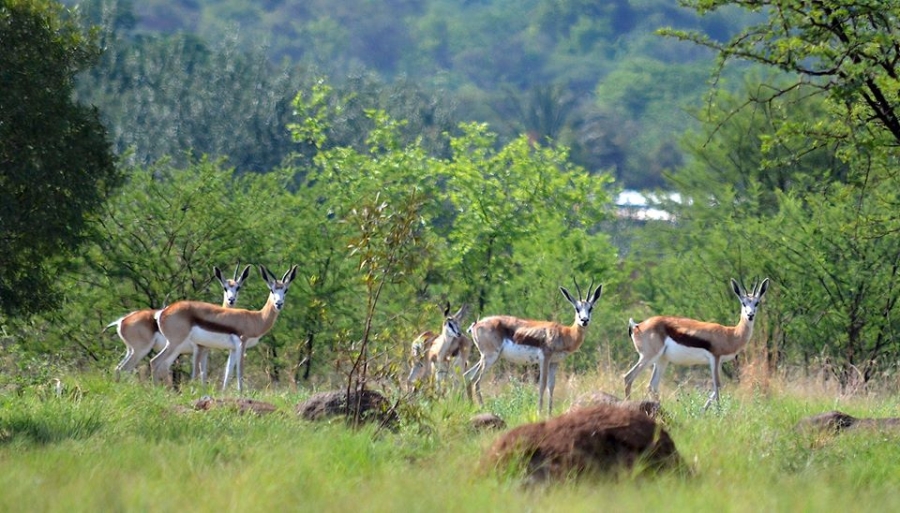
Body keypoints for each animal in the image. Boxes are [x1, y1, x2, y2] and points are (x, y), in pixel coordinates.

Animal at [108, 264, 250, 380]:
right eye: (225, 288)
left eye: (238, 287)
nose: (231, 300)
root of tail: (122, 321)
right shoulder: (197, 349)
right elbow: (196, 374)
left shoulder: (204, 350)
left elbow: (203, 374)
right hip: (144, 349)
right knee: (130, 368)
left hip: (132, 350)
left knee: (119, 369)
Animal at [152, 264, 298, 392]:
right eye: (272, 290)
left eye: (285, 290)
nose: (278, 303)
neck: (255, 318)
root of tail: (163, 312)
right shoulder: (241, 343)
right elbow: (239, 371)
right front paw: (241, 394)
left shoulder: (232, 349)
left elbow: (228, 372)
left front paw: (223, 393)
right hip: (175, 343)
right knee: (155, 362)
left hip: (176, 347)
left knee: (162, 365)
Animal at [464, 280, 604, 416]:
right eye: (577, 308)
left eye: (590, 308)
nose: (584, 320)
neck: (565, 334)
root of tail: (476, 325)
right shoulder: (545, 359)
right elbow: (542, 385)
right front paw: (539, 413)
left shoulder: (554, 362)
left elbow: (551, 386)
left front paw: (549, 414)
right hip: (490, 357)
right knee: (475, 380)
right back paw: (482, 408)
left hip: (487, 357)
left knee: (467, 375)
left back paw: (471, 407)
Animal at [624, 278, 768, 410]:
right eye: (743, 303)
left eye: (757, 303)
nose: (750, 315)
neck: (731, 334)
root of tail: (637, 325)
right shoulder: (715, 358)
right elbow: (717, 386)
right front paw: (717, 413)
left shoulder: (719, 362)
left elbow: (718, 388)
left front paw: (702, 412)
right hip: (648, 357)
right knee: (628, 377)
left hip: (661, 360)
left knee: (652, 385)